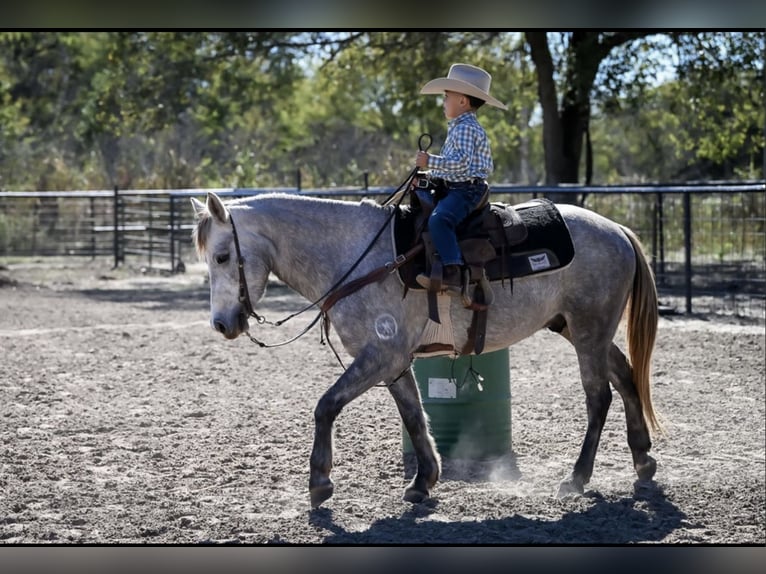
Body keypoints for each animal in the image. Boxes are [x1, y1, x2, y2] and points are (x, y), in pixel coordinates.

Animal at [191, 191, 660, 509]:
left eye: (221, 256)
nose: (221, 324)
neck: (356, 258)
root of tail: (617, 230)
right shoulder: (393, 360)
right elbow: (414, 414)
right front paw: (424, 481)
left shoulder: (380, 355)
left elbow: (326, 405)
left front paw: (320, 481)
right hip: (579, 330)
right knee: (625, 377)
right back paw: (642, 460)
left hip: (588, 331)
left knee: (599, 397)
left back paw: (577, 478)